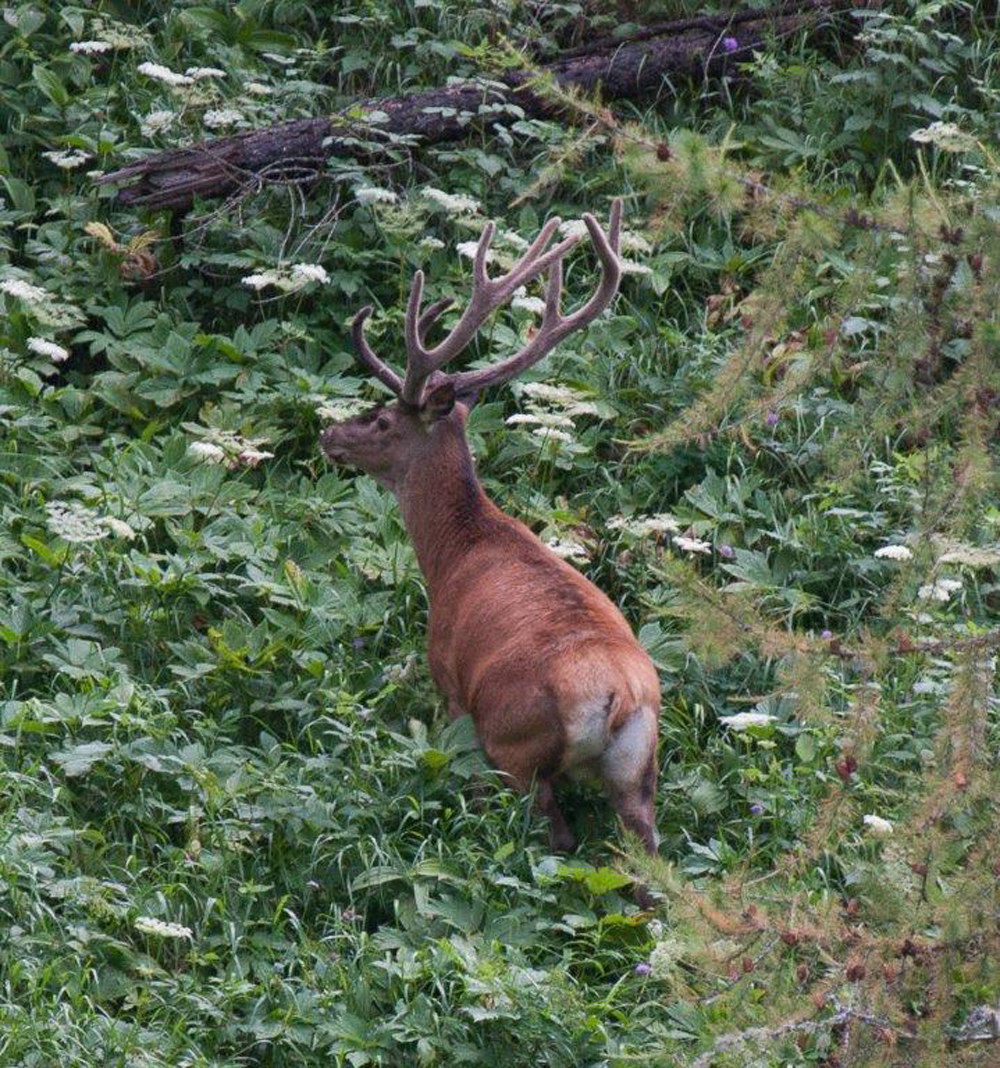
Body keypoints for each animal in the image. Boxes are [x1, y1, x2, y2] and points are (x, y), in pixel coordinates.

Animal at [320, 199, 660, 878]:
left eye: (382, 419)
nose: (329, 434)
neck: (456, 549)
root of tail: (618, 698)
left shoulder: (449, 681)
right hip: (639, 769)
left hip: (515, 743)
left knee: (553, 833)